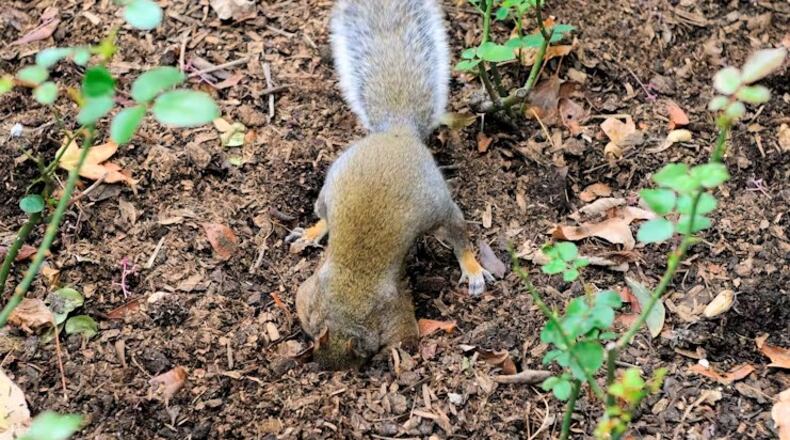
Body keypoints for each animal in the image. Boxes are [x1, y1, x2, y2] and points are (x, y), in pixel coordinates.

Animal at [288, 0, 494, 370]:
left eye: (361, 359)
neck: (347, 299)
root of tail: (398, 133)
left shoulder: (391, 312)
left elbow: (406, 335)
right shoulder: (310, 296)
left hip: (437, 205)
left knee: (458, 233)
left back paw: (471, 268)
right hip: (330, 186)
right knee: (324, 214)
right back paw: (312, 232)